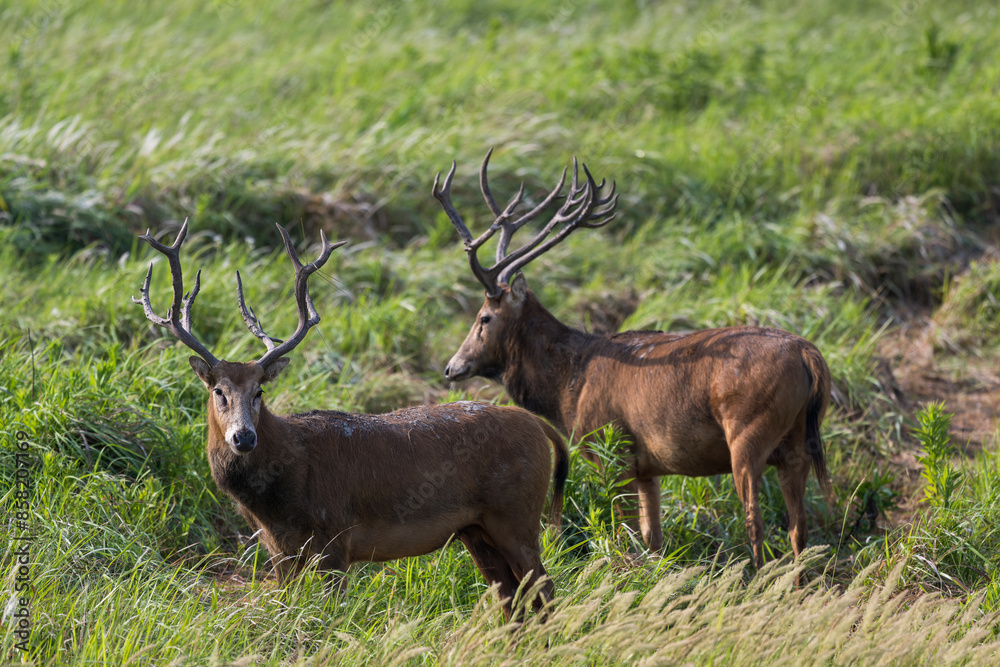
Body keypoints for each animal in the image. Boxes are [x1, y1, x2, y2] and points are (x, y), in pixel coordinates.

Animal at [132, 220, 569, 620]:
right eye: (219, 391)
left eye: (259, 392)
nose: (243, 437)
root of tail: (539, 426)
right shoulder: (280, 554)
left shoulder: (335, 541)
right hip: (477, 530)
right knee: (513, 601)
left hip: (518, 513)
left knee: (545, 591)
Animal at [433, 150, 834, 568]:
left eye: (483, 317)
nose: (451, 367)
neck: (568, 387)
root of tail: (810, 356)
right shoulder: (647, 467)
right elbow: (652, 537)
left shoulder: (611, 449)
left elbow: (625, 533)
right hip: (799, 442)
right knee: (799, 529)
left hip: (747, 432)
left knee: (755, 523)